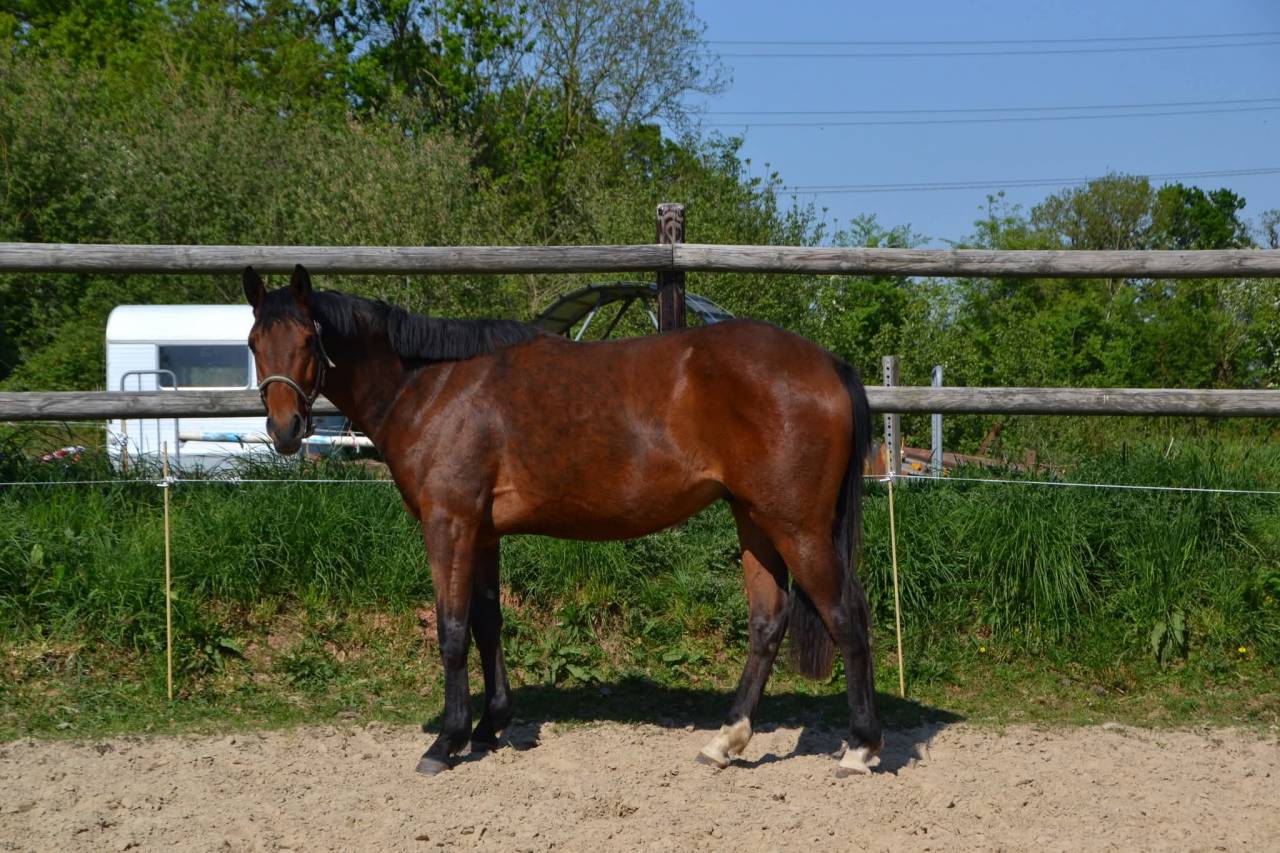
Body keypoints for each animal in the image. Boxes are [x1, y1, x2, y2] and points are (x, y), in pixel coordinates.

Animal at [243, 264, 881, 777]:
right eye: (253, 342)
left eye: (309, 338)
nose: (284, 429)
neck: (434, 385)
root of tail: (827, 364)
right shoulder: (483, 532)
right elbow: (488, 624)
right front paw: (491, 726)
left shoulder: (449, 524)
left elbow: (451, 630)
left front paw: (447, 741)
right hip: (755, 521)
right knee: (767, 623)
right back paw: (726, 742)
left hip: (797, 527)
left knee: (847, 614)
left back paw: (860, 747)